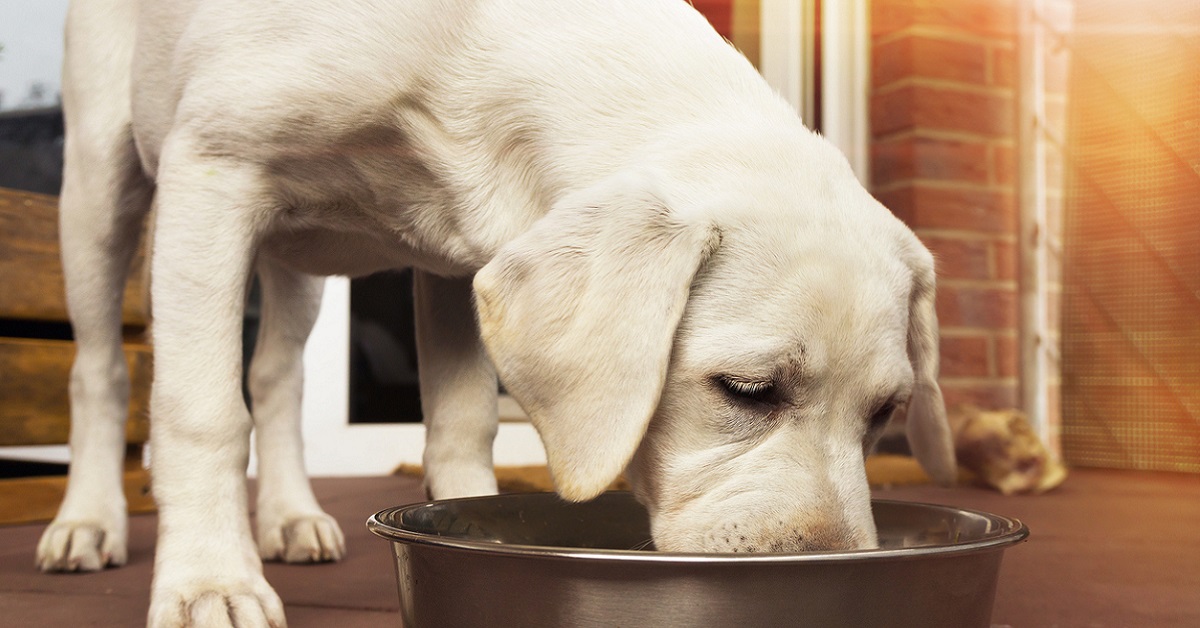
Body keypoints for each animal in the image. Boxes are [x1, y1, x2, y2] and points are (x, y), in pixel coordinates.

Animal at [39, 0, 955, 624]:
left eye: (885, 414)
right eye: (747, 391)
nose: (832, 573)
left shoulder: (455, 261)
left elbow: (461, 423)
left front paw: (464, 521)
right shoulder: (214, 166)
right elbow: (200, 413)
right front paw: (209, 583)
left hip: (293, 262)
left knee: (276, 379)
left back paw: (292, 517)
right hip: (101, 184)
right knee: (100, 370)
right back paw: (87, 522)